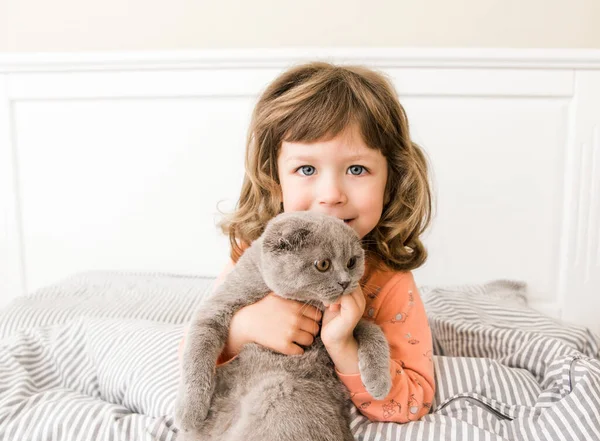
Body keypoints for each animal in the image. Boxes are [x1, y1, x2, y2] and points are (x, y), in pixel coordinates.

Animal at [176, 211, 392, 438]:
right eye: (323, 264)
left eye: (351, 262)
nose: (345, 282)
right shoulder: (215, 308)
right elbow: (196, 353)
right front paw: (189, 412)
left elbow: (373, 331)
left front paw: (379, 383)